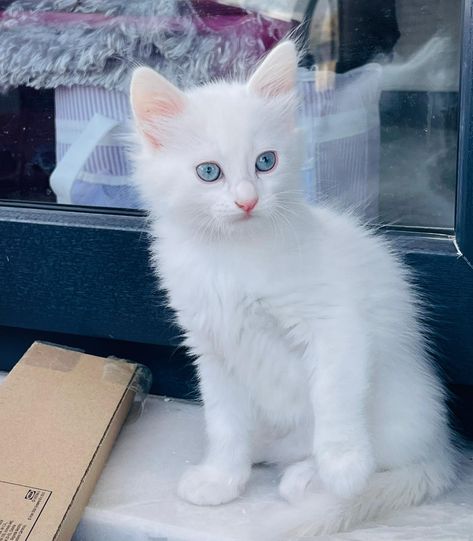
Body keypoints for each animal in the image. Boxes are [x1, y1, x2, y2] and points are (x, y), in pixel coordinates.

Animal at [129, 41, 458, 536]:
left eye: (266, 162)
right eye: (209, 172)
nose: (247, 200)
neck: (230, 257)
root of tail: (443, 447)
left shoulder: (334, 326)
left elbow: (333, 399)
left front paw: (343, 467)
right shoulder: (212, 348)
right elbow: (224, 423)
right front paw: (221, 478)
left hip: (396, 406)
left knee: (385, 460)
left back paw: (312, 477)